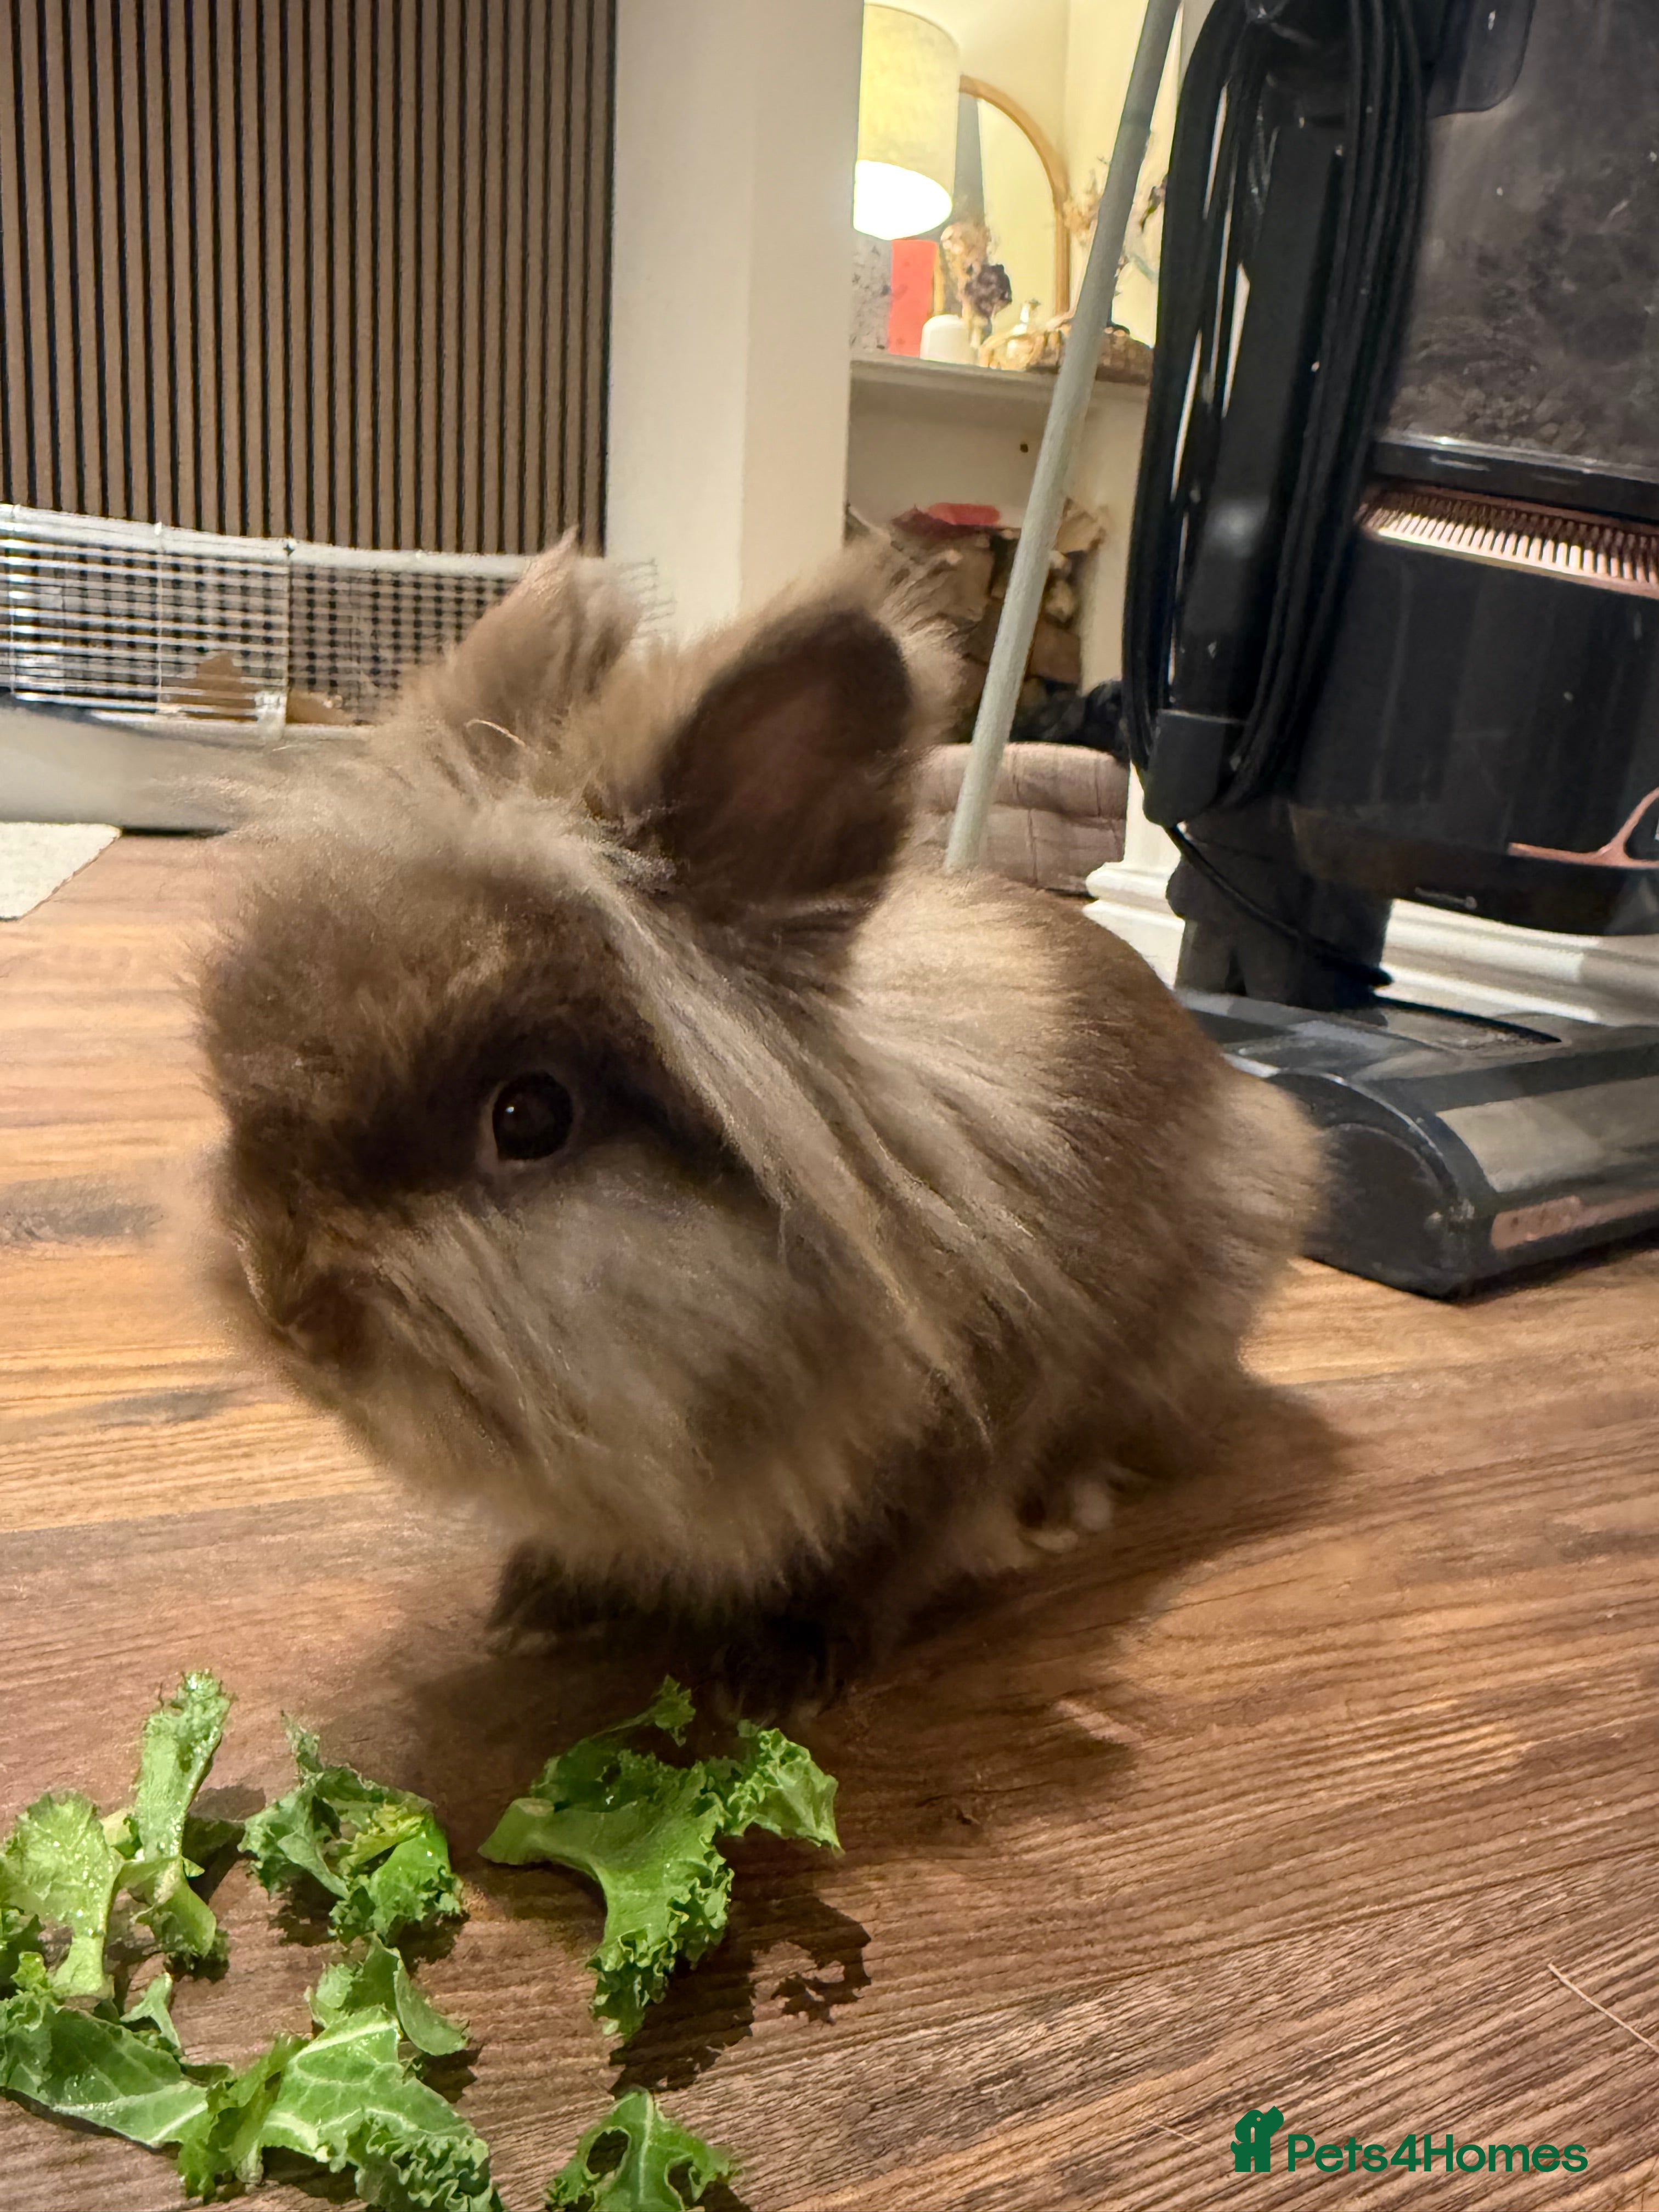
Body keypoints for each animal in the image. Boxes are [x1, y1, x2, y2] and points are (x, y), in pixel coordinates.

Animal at [194, 540, 1320, 1713]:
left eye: (528, 1115)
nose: (283, 1306)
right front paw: (538, 1605)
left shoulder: (964, 1432)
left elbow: (885, 1560)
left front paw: (780, 1675)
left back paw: (1066, 1504)